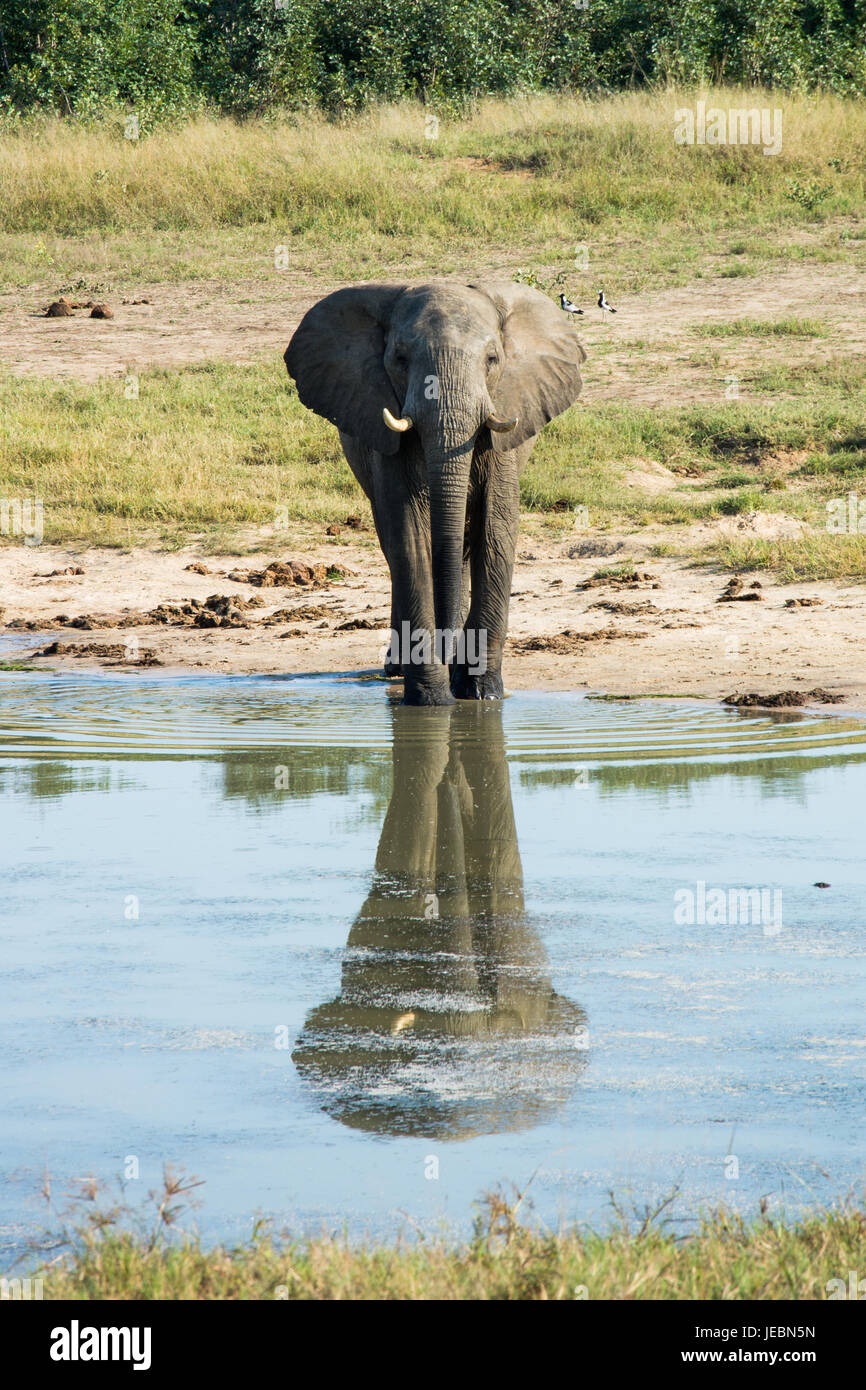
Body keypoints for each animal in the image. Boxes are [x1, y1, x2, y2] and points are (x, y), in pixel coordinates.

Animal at [287, 279, 586, 706]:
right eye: (400, 358)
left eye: (492, 359)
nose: (449, 656)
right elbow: (410, 536)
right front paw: (432, 701)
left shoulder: (502, 420)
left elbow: (495, 531)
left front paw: (482, 693)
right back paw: (398, 667)